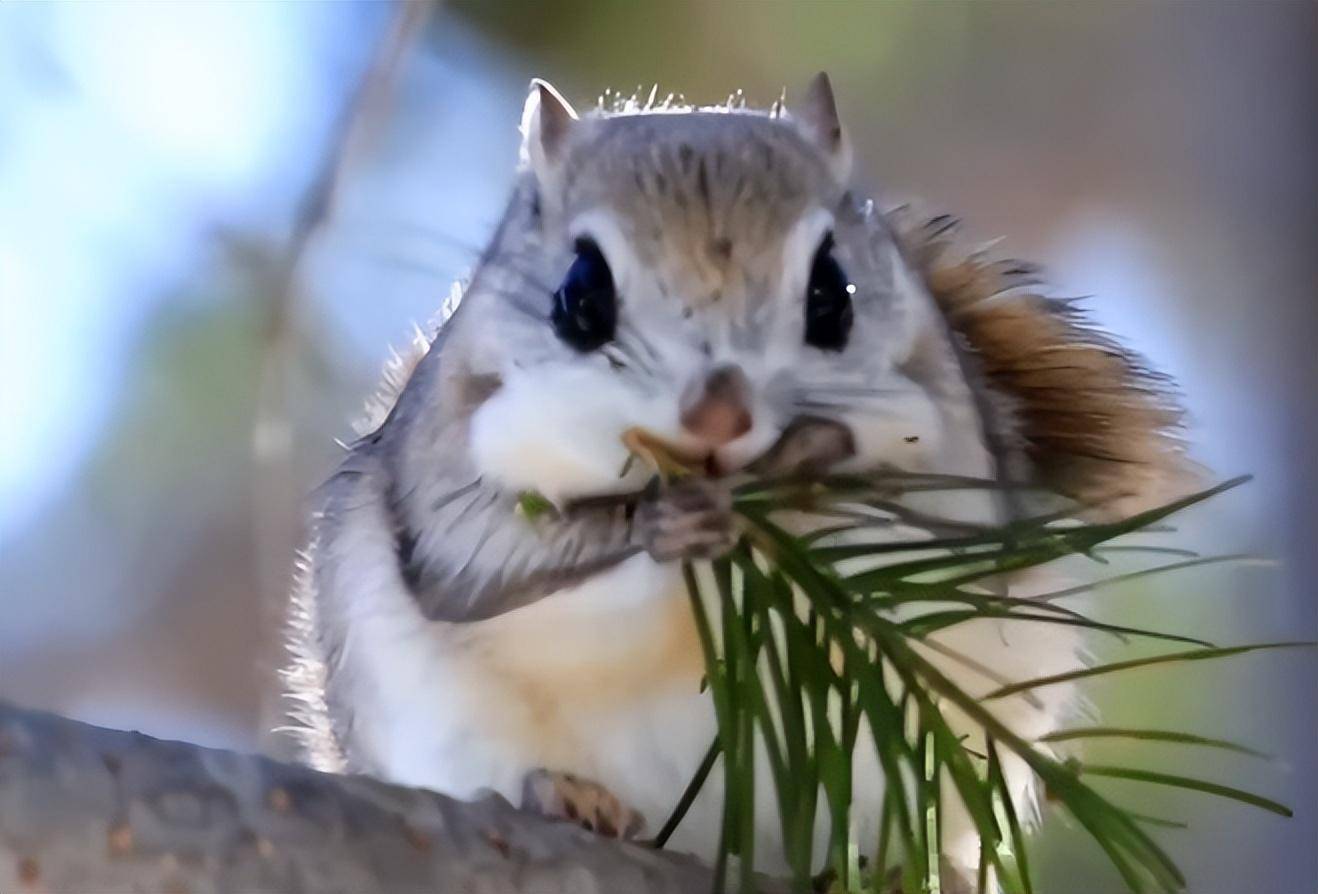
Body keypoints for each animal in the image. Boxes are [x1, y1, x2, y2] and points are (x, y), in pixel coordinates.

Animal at [280, 75, 1196, 875]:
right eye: (579, 292)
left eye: (833, 291)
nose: (719, 417)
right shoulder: (440, 479)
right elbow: (481, 566)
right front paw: (662, 524)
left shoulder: (964, 460)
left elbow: (930, 531)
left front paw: (800, 480)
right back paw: (572, 798)